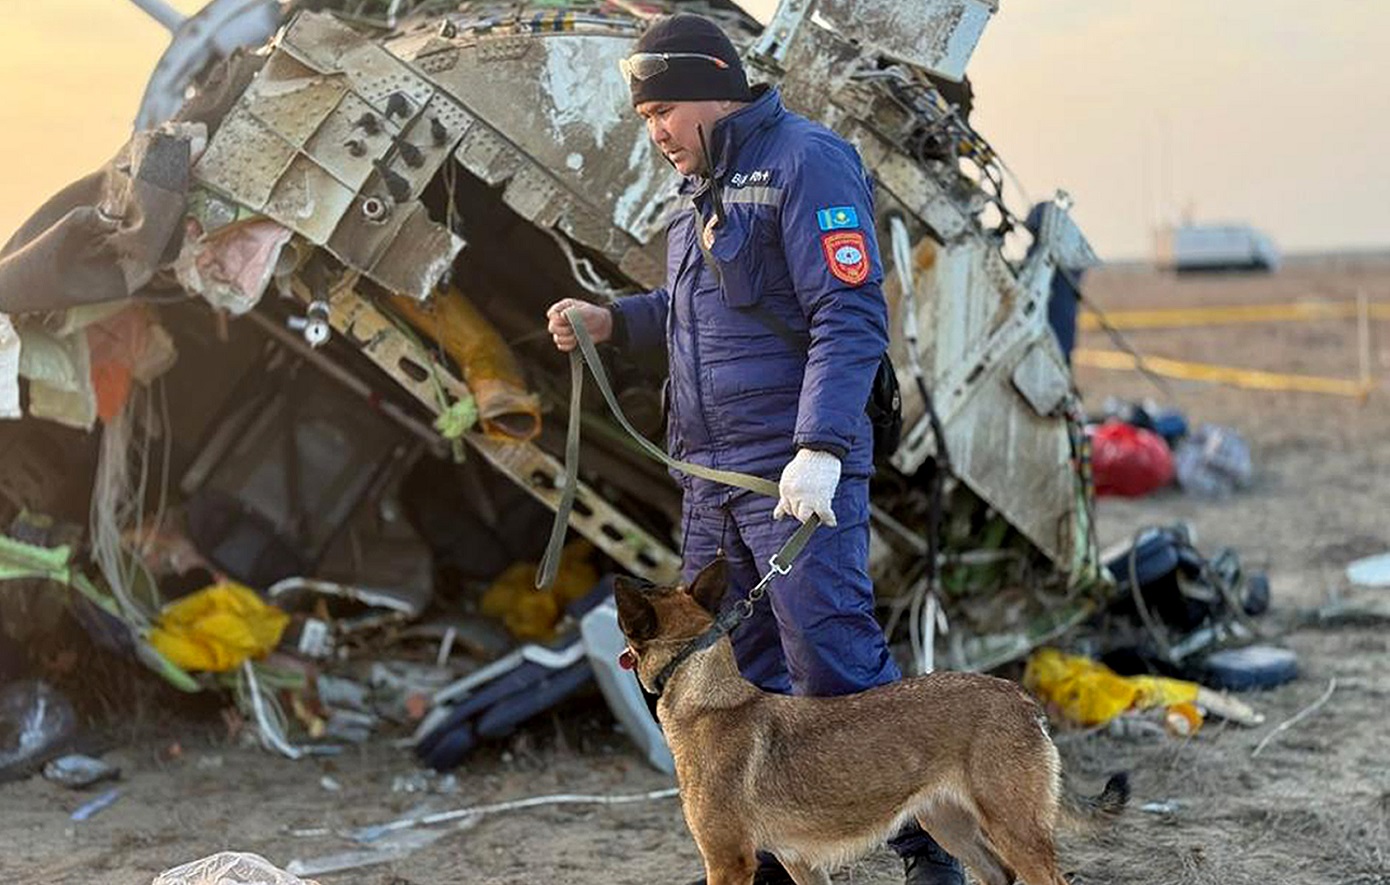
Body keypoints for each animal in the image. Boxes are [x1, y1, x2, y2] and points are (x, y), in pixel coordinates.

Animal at [619, 558, 1128, 883]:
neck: (706, 695)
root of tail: (1021, 698)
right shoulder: (800, 863)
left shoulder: (728, 863)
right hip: (947, 823)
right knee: (998, 874)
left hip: (1013, 831)